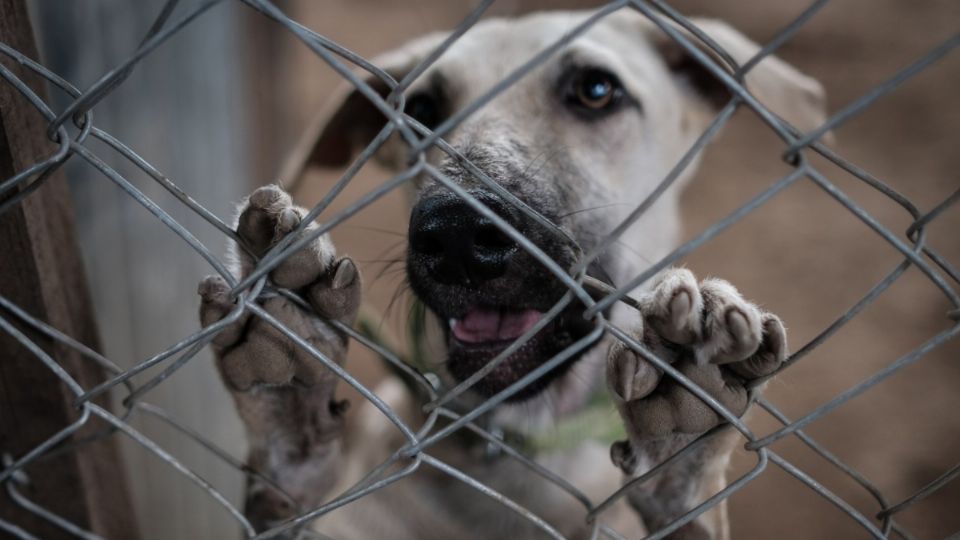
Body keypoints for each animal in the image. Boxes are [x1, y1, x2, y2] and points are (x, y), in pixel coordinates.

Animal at [195, 9, 824, 540]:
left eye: (597, 90)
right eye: (421, 110)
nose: (455, 234)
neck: (519, 452)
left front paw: (684, 446)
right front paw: (288, 404)